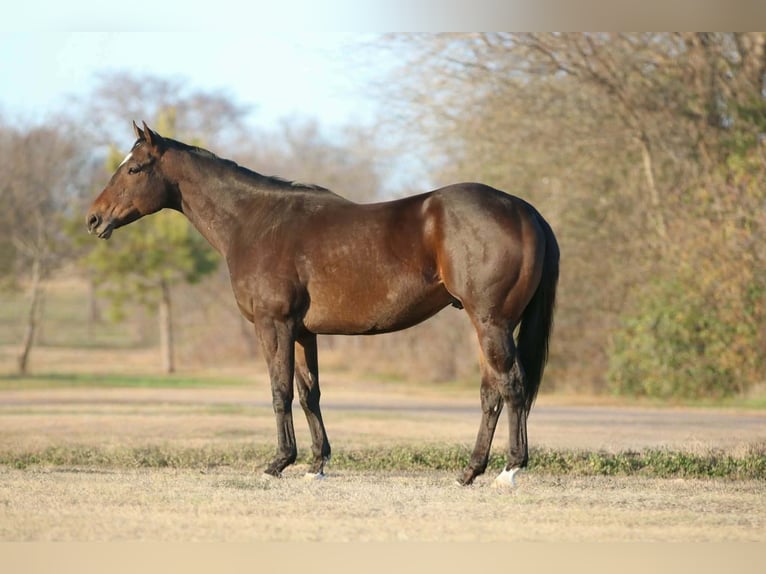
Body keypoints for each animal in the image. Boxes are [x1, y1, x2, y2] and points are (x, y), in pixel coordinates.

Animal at [87, 122, 559, 487]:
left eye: (134, 168)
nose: (94, 218)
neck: (254, 222)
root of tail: (523, 209)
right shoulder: (302, 332)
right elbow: (308, 392)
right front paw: (316, 464)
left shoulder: (273, 325)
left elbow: (279, 391)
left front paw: (278, 462)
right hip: (484, 325)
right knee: (490, 392)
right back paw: (470, 471)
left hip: (492, 322)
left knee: (511, 385)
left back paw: (509, 470)